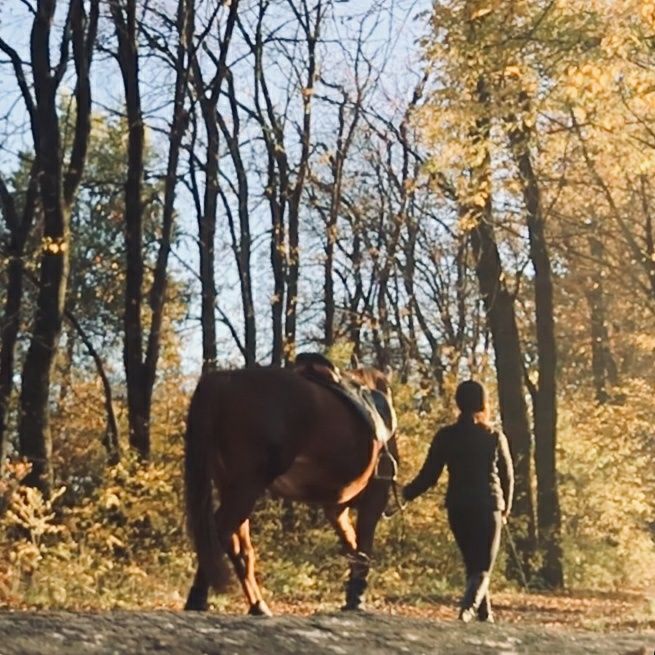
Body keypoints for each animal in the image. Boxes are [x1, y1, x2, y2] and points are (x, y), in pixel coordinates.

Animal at [184, 364, 400, 616]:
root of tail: (224, 380)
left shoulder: (336, 508)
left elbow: (351, 544)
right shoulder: (375, 496)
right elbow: (362, 547)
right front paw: (356, 598)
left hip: (232, 485)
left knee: (237, 547)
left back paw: (258, 606)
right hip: (247, 487)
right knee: (216, 534)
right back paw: (198, 600)